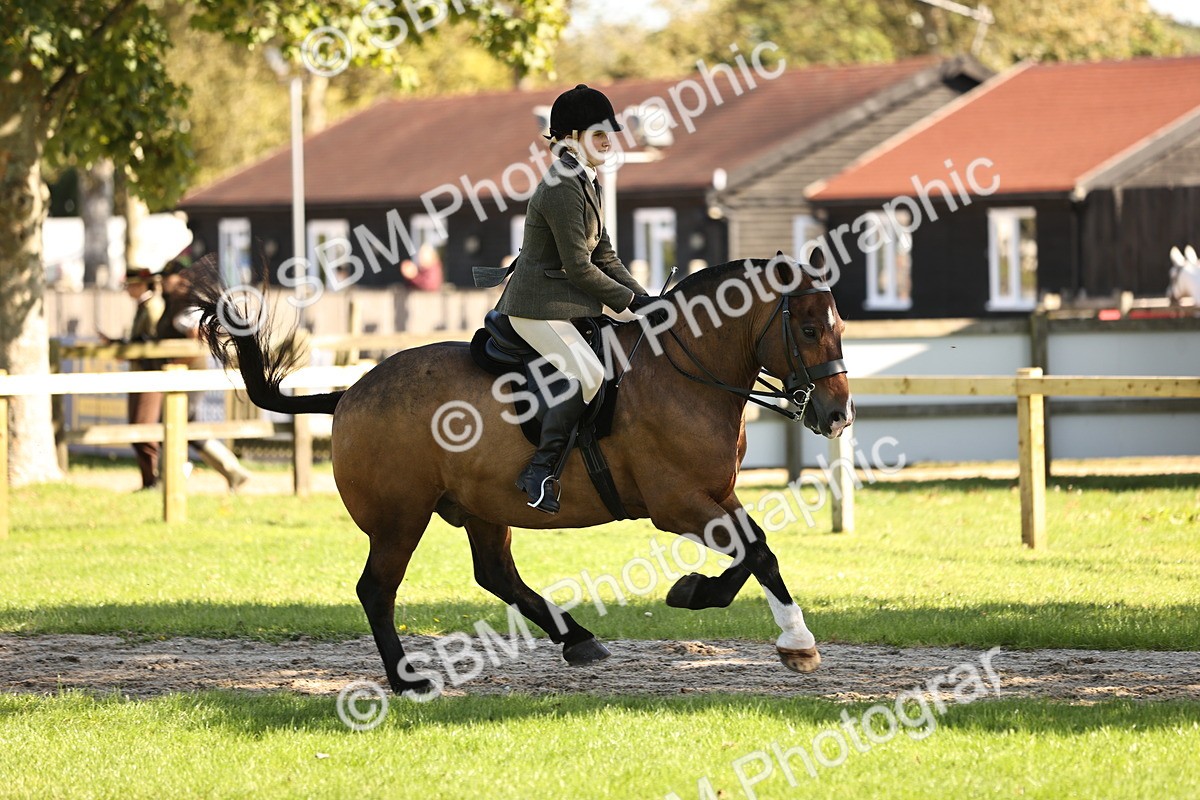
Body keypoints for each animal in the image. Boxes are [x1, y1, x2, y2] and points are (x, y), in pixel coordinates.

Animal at [187, 252, 855, 695]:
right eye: (809, 328)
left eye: (840, 326)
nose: (837, 414)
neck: (684, 369)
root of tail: (350, 392)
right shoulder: (678, 503)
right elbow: (757, 551)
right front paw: (791, 642)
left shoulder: (717, 494)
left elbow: (757, 549)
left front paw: (699, 593)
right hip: (400, 519)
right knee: (377, 589)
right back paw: (407, 680)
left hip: (483, 508)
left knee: (495, 574)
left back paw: (577, 639)